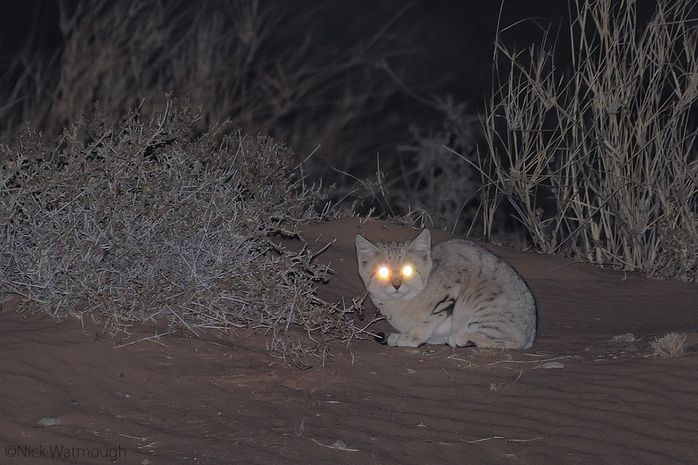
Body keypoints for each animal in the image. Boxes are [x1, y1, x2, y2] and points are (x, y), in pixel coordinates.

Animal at [356, 228, 536, 348]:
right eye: (383, 272)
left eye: (407, 270)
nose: (396, 285)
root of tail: (531, 337)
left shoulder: (452, 289)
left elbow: (430, 319)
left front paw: (412, 338)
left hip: (481, 309)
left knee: (507, 341)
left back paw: (460, 338)